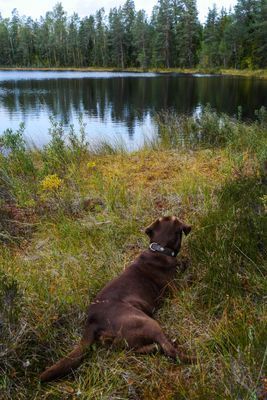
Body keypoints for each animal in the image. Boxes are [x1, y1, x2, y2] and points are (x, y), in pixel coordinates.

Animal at [40, 216, 193, 382]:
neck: (159, 249)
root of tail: (91, 321)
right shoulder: (176, 287)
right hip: (146, 322)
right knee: (168, 349)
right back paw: (191, 358)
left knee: (135, 348)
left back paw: (154, 348)